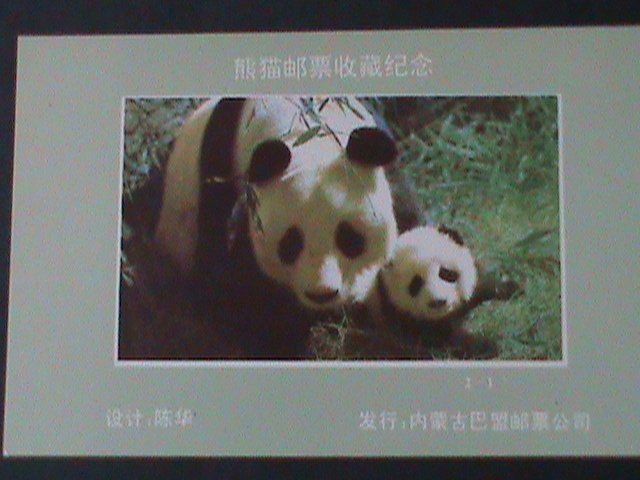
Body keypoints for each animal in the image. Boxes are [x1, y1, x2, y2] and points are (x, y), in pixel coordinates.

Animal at [360, 224, 519, 359]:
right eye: (416, 284)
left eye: (445, 273)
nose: (438, 301)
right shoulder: (399, 318)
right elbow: (444, 341)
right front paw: (485, 345)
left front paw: (508, 288)